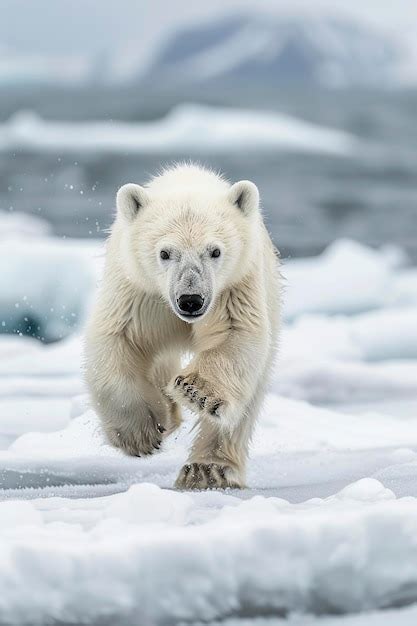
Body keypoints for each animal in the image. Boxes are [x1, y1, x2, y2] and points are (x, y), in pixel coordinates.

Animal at [84, 165, 280, 488]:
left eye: (215, 251)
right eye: (165, 253)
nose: (191, 300)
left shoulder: (234, 288)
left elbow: (235, 336)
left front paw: (194, 390)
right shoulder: (139, 292)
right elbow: (118, 340)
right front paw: (140, 433)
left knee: (246, 398)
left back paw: (208, 469)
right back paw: (169, 417)